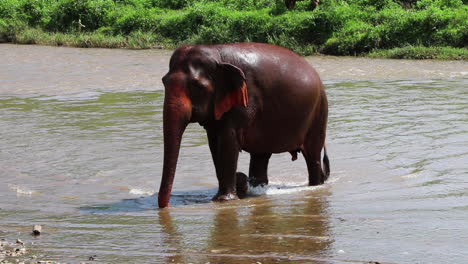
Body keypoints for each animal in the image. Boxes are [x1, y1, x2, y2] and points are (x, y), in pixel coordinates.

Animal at [159, 42, 330, 208]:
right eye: (163, 82)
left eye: (197, 86)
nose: (166, 207)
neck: (216, 53)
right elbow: (214, 143)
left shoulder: (245, 100)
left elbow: (228, 140)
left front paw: (224, 200)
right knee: (261, 155)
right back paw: (257, 188)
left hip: (318, 113)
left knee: (312, 155)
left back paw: (315, 186)